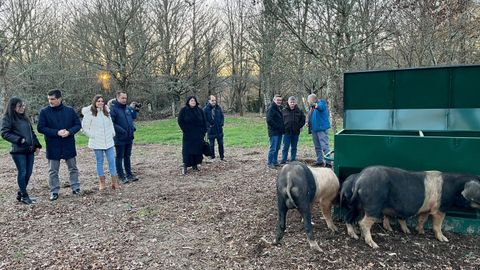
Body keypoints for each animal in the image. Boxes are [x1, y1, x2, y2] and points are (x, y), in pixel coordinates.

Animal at [348, 166, 480, 248]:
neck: (454, 189)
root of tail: (359, 181)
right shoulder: (439, 209)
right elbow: (437, 225)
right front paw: (444, 239)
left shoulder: (426, 209)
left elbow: (422, 220)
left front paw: (420, 232)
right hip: (373, 206)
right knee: (363, 223)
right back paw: (374, 245)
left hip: (357, 205)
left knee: (351, 218)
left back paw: (355, 235)